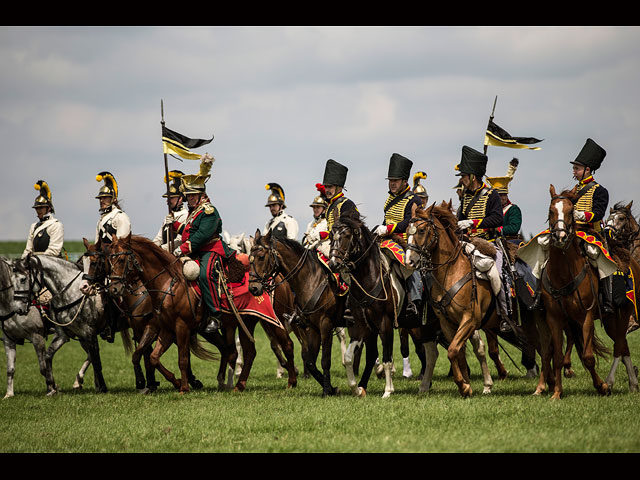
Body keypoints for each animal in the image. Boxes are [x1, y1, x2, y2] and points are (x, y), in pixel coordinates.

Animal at [250, 229, 348, 398]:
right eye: (250, 257)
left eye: (261, 256)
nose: (253, 288)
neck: (311, 279)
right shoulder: (310, 326)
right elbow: (310, 360)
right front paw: (331, 388)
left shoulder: (325, 324)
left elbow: (324, 359)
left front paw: (326, 390)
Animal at [404, 202, 528, 398]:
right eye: (408, 230)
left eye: (422, 230)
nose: (409, 261)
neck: (451, 271)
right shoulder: (447, 324)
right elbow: (457, 352)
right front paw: (466, 386)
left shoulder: (469, 320)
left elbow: (453, 350)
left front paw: (464, 385)